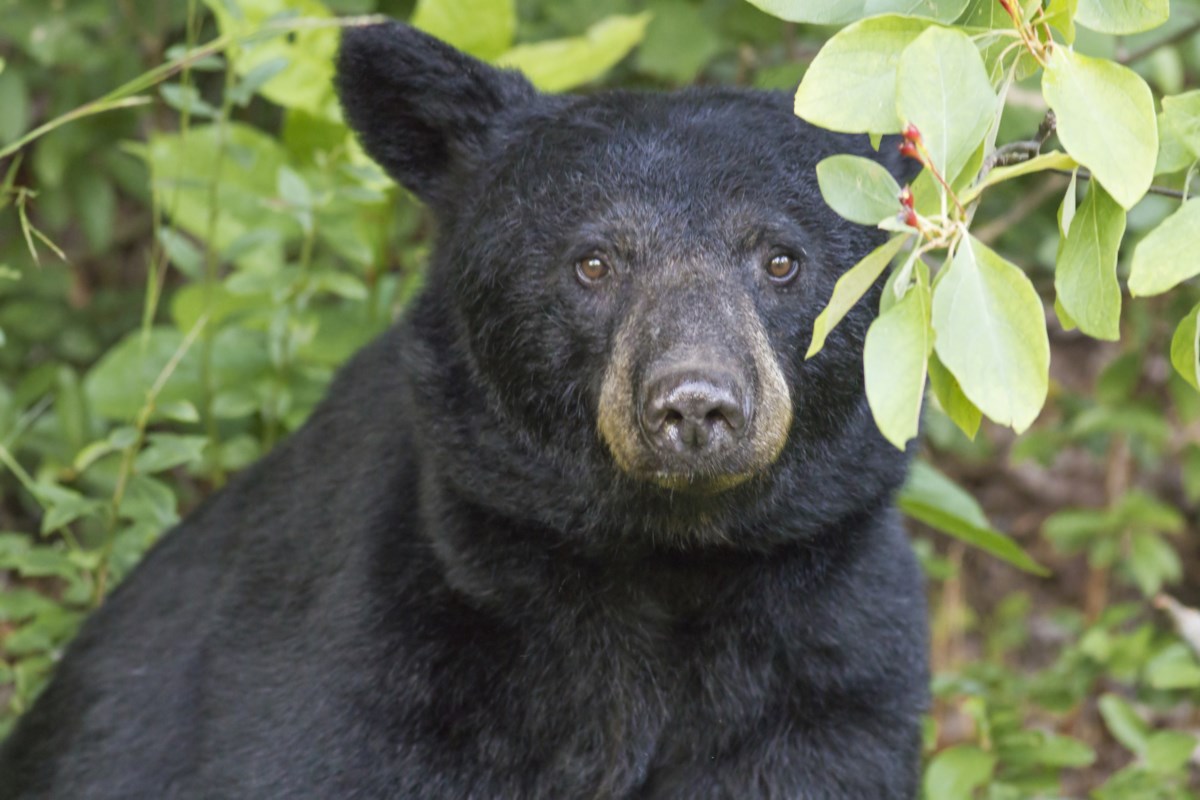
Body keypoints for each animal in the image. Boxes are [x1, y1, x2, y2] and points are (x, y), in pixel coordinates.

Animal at [0, 21, 929, 800]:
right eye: (593, 262)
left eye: (781, 260)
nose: (696, 406)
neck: (662, 562)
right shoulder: (380, 666)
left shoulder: (831, 681)